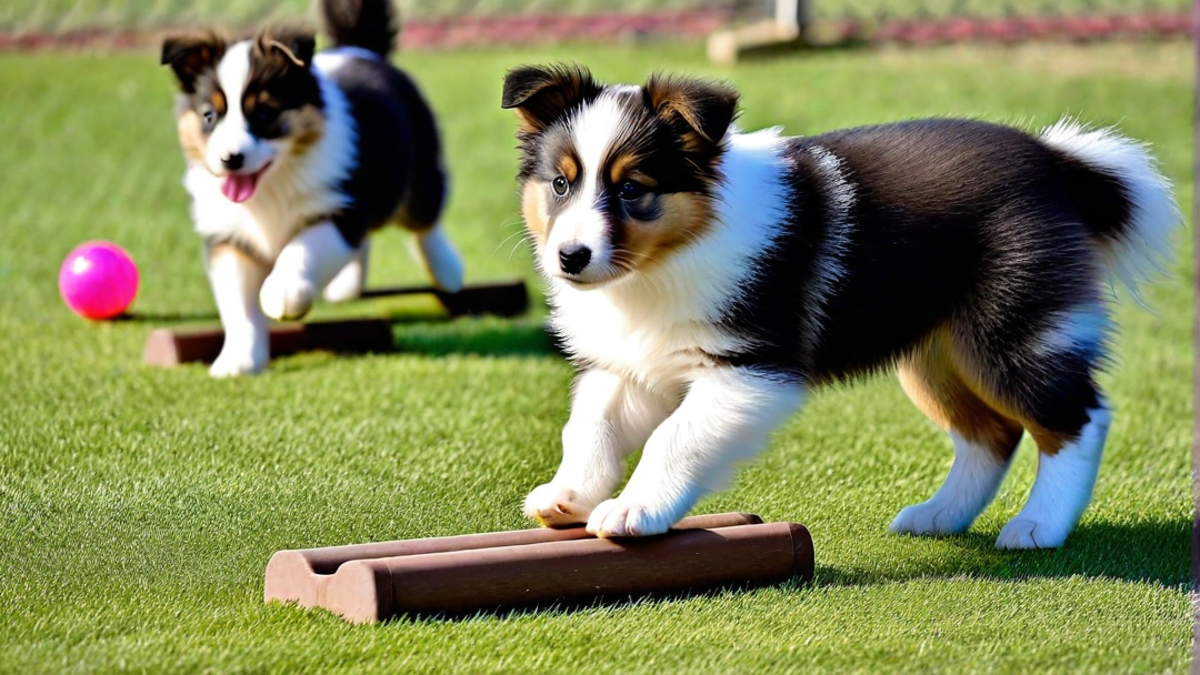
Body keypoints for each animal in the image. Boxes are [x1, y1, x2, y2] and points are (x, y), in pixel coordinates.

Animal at [159, 0, 458, 374]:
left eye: (265, 114)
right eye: (209, 115)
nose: (231, 159)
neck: (272, 183)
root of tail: (359, 49)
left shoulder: (338, 206)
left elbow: (303, 249)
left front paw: (282, 293)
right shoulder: (229, 234)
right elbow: (239, 307)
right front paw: (238, 362)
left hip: (416, 170)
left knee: (425, 219)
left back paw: (448, 271)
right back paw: (347, 286)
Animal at [499, 61, 1180, 547]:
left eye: (632, 190)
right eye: (560, 184)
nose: (570, 258)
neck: (666, 259)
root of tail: (1058, 161)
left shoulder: (751, 367)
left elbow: (676, 437)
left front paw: (633, 510)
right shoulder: (637, 360)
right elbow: (590, 423)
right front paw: (568, 496)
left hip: (1012, 327)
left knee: (1078, 418)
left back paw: (1039, 527)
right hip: (937, 352)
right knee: (993, 433)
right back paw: (939, 516)